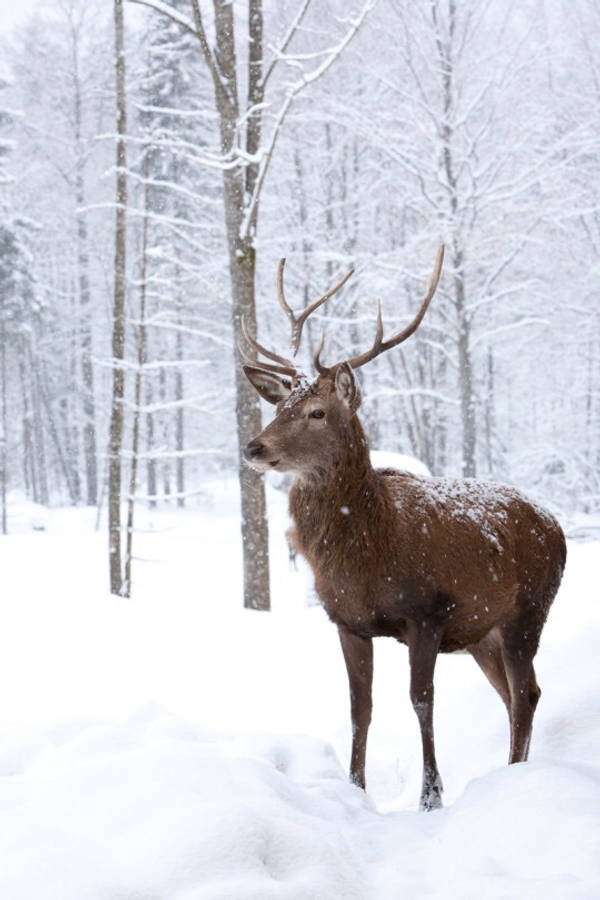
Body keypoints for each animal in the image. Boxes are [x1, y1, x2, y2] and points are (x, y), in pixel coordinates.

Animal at [240, 246, 567, 811]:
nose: (253, 447)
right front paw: (355, 788)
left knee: (526, 693)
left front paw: (431, 796)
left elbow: (421, 700)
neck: (370, 549)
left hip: (529, 611)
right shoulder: (346, 621)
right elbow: (360, 707)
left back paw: (512, 777)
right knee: (512, 694)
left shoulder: (428, 612)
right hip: (484, 633)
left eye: (317, 411)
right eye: (278, 405)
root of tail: (558, 526)